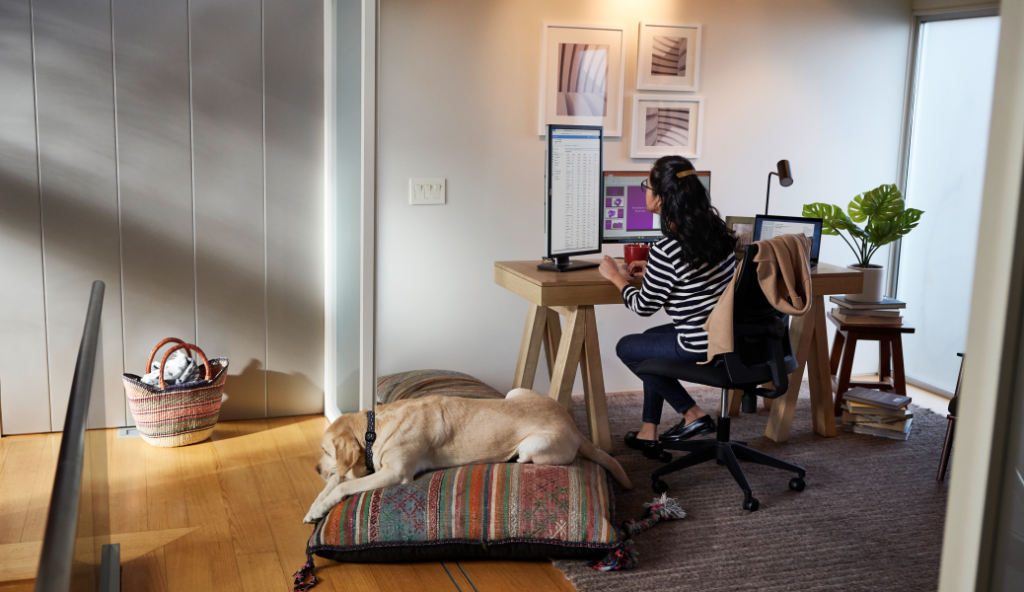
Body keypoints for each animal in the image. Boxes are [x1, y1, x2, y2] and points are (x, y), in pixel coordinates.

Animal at [305, 387, 630, 520]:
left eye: (324, 450)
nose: (315, 469)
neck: (375, 428)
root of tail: (574, 426)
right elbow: (337, 482)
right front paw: (315, 507)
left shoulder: (395, 473)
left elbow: (344, 484)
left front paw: (322, 504)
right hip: (515, 392)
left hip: (534, 446)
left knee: (526, 455)